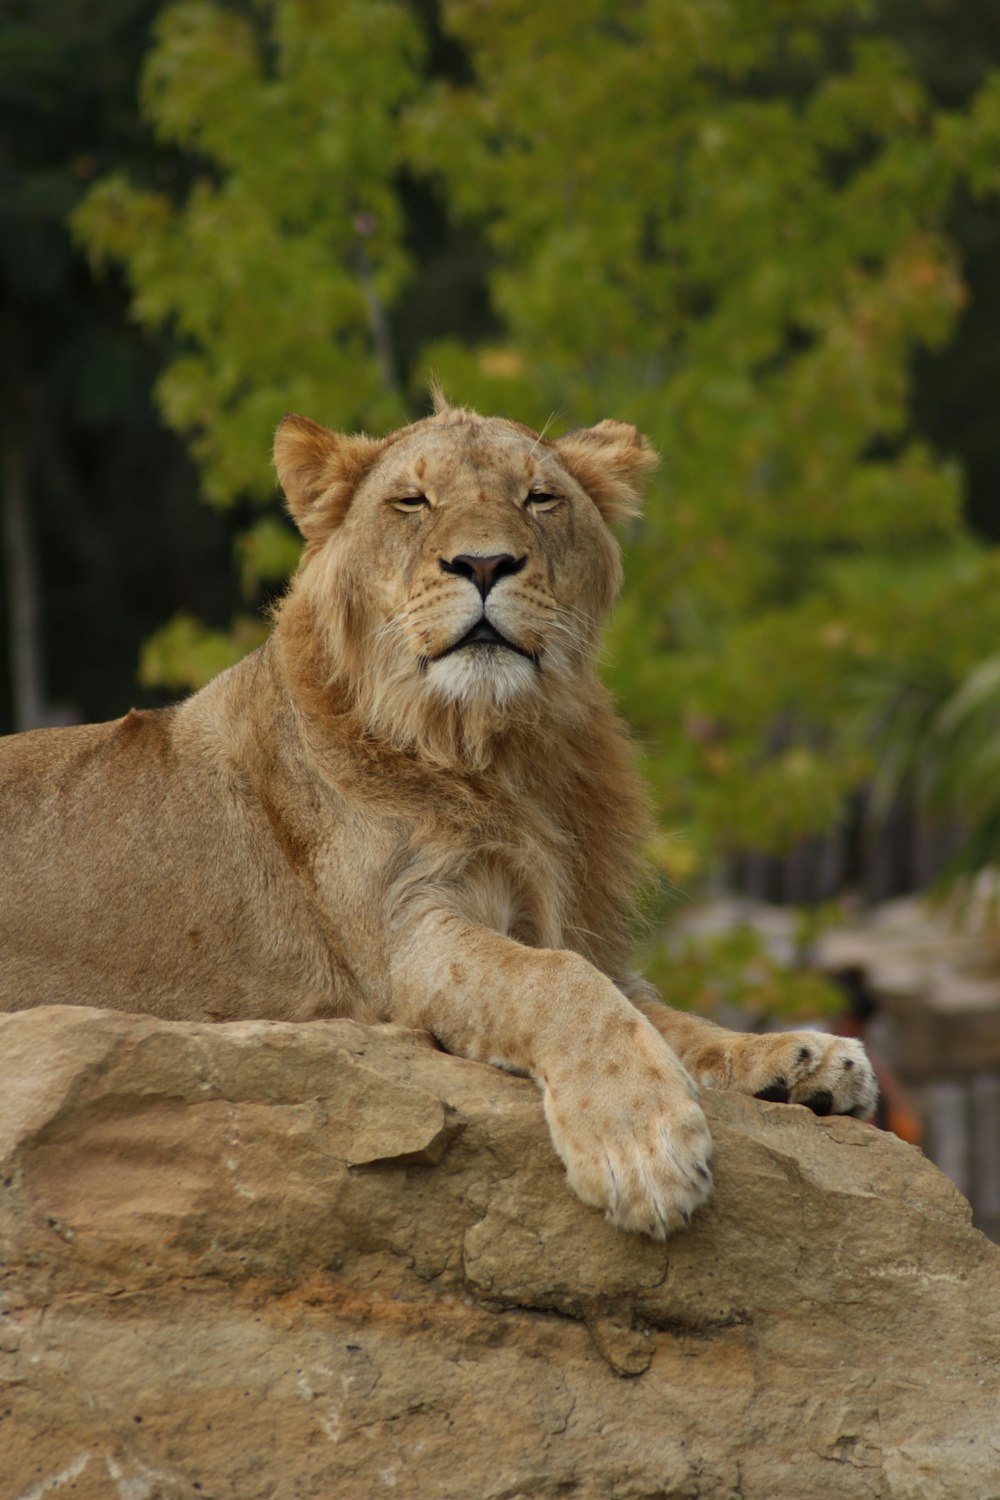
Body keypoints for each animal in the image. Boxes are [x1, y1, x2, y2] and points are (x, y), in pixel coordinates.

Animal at [0, 396, 875, 1230]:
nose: (484, 562)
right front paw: (645, 1150)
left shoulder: (577, 927)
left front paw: (806, 1060)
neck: (501, 750)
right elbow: (560, 983)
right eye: (413, 501)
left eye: (539, 497)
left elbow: (664, 1017)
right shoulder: (402, 938)